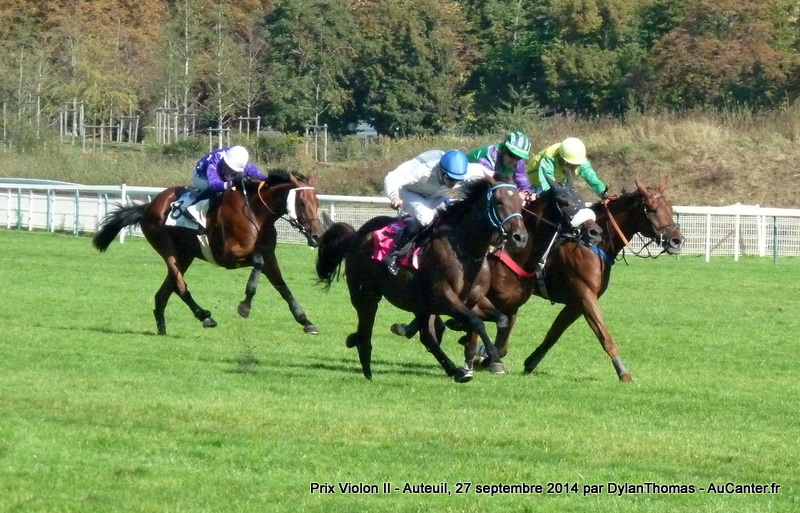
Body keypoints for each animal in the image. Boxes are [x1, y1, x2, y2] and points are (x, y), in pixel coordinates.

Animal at [95, 169, 326, 336]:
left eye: (317, 202)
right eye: (302, 202)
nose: (317, 237)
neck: (257, 215)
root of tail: (149, 205)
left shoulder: (269, 256)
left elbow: (283, 288)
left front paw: (306, 321)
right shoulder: (229, 256)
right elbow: (258, 263)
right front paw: (245, 305)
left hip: (185, 254)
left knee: (164, 292)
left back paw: (162, 328)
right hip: (166, 247)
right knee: (179, 286)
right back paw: (204, 316)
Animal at [316, 175, 528, 380]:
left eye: (520, 203)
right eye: (499, 202)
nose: (520, 238)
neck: (464, 251)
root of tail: (355, 237)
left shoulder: (474, 299)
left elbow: (501, 319)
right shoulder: (443, 297)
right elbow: (476, 322)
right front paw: (492, 356)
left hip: (418, 304)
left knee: (426, 336)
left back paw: (454, 370)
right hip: (366, 296)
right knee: (366, 331)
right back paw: (367, 369)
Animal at [520, 178, 688, 378]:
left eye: (670, 208)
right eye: (652, 209)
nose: (677, 241)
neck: (593, 244)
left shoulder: (577, 302)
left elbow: (555, 331)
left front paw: (531, 362)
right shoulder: (585, 295)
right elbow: (603, 335)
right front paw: (623, 372)